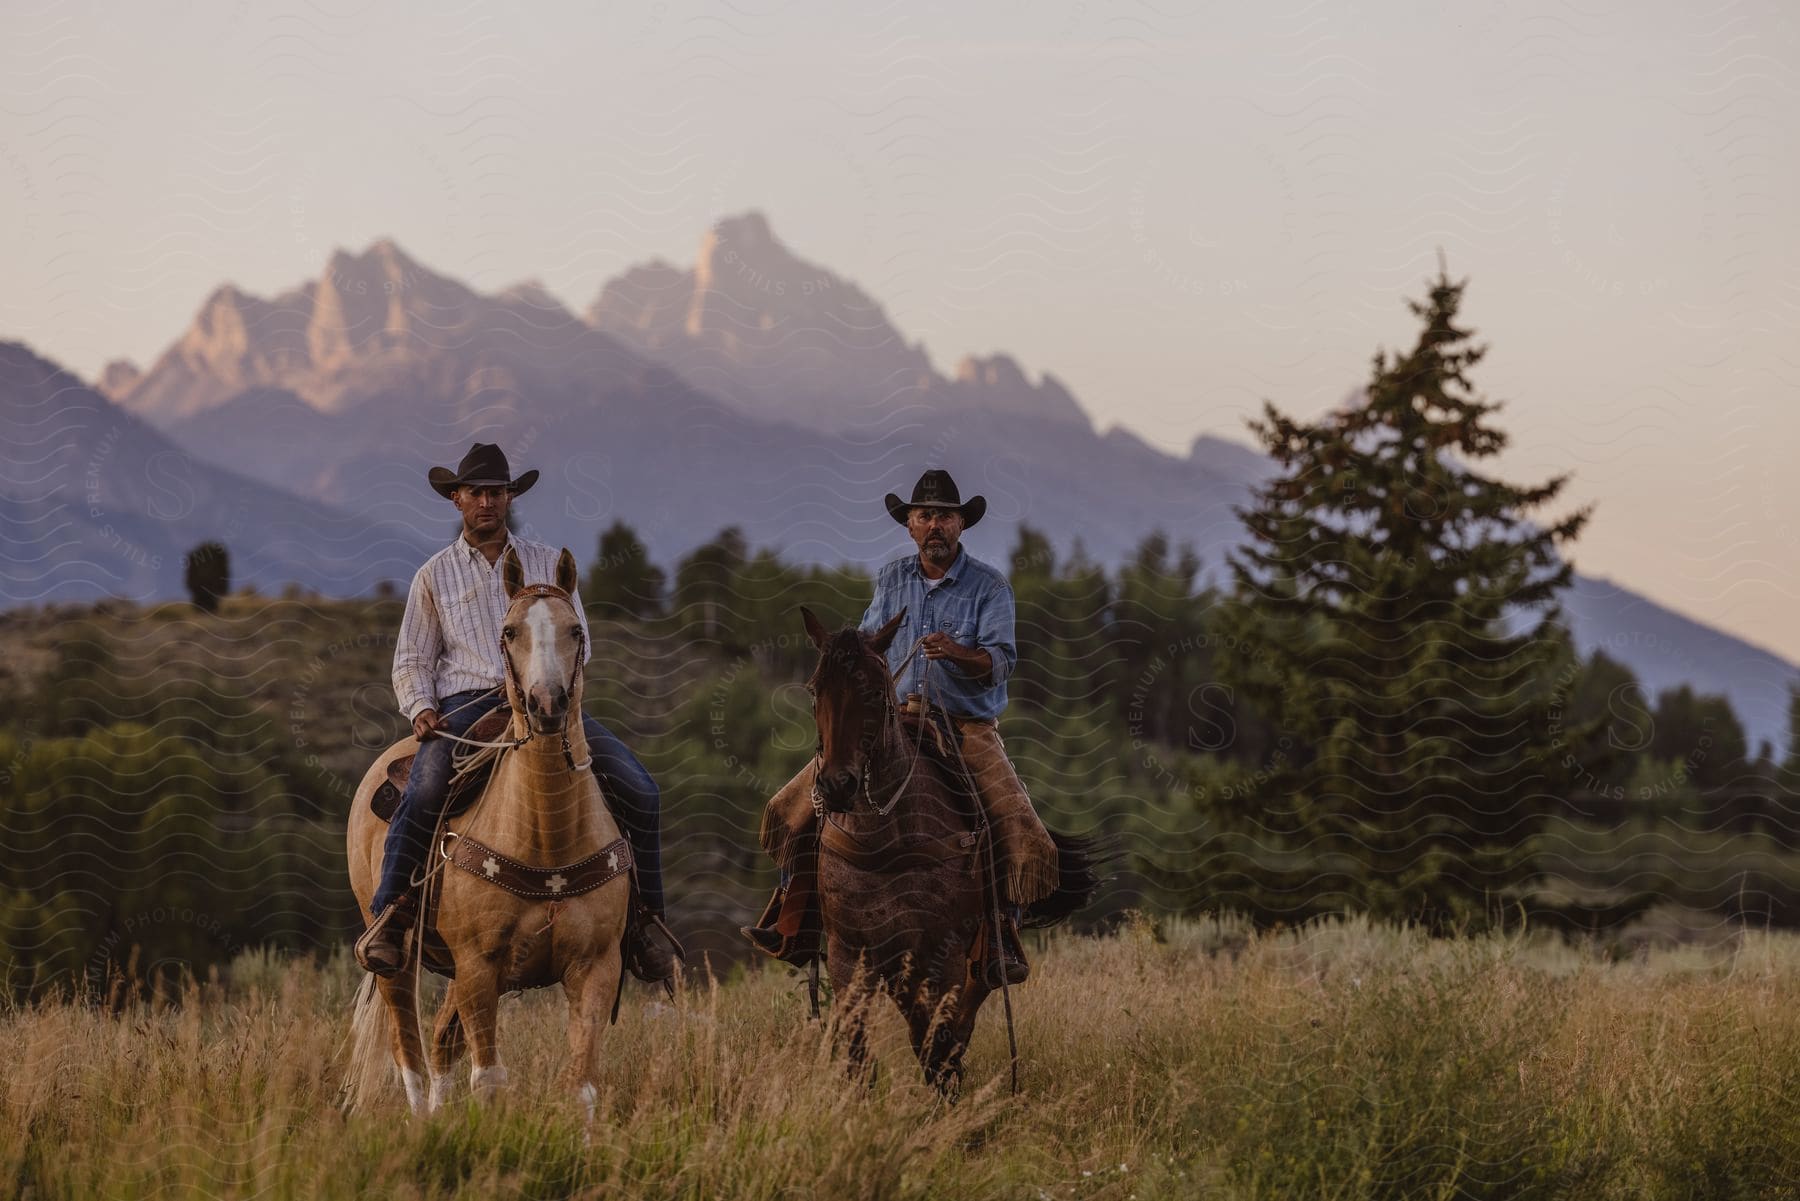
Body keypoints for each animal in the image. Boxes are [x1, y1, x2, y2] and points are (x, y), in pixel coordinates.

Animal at [343, 547, 633, 1116]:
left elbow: (582, 1083)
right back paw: (422, 1121)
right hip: (398, 962)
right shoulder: (478, 966)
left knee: (439, 1043)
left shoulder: (595, 967)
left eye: (575, 630)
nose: (548, 704)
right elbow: (490, 1079)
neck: (546, 837)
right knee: (408, 1049)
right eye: (509, 631)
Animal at [806, 605, 1108, 1094]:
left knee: (958, 1020)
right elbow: (857, 1051)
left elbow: (936, 1045)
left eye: (874, 691)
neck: (889, 840)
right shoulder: (848, 954)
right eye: (816, 689)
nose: (837, 785)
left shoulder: (940, 955)